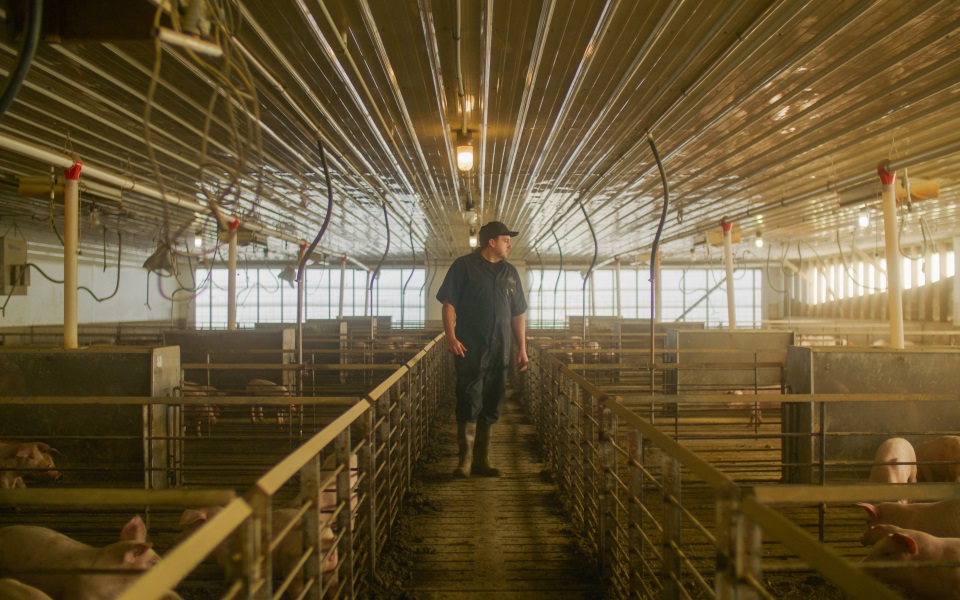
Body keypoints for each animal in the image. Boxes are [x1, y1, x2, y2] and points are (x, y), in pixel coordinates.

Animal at [178, 504, 340, 596]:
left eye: (189, 526)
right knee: (333, 587)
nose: (176, 540)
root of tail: (326, 538)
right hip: (331, 570)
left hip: (296, 569)